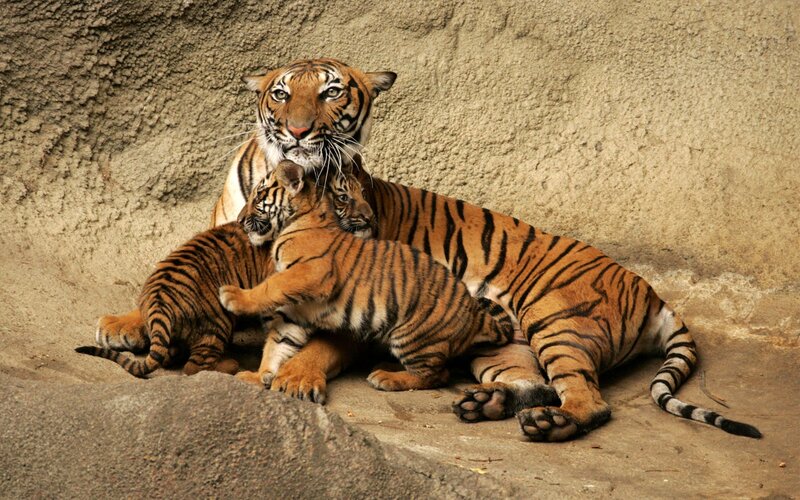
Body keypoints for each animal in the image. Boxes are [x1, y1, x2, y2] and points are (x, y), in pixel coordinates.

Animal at [81, 172, 376, 378]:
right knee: (193, 367)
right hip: (217, 323)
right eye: (343, 198)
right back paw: (229, 364)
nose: (368, 218)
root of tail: (158, 303)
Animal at [218, 160, 515, 392]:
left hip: (412, 335)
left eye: (259, 196)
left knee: (437, 374)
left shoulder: (311, 272)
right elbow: (278, 344)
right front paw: (257, 376)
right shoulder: (297, 310)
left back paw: (387, 378)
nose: (240, 220)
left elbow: (271, 286)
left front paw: (232, 296)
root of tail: (475, 315)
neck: (299, 219)